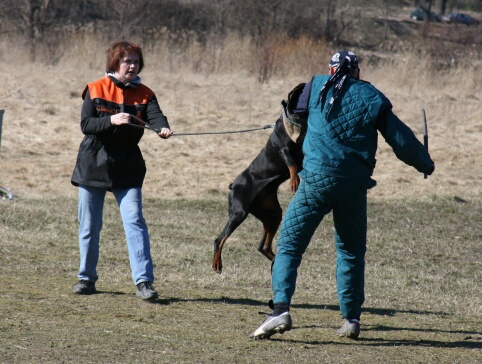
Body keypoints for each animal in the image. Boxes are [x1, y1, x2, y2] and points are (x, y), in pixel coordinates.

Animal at [213, 83, 306, 272]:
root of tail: (233, 185)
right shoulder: (283, 149)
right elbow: (292, 164)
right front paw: (294, 182)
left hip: (271, 213)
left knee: (263, 246)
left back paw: (275, 261)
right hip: (239, 212)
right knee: (219, 240)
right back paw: (217, 263)